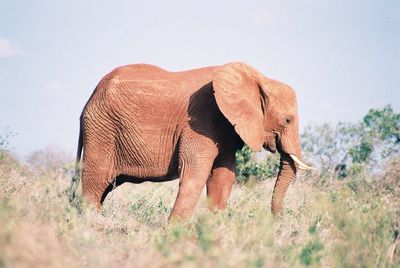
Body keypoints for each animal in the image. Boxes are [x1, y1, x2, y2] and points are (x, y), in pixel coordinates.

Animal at [68, 62, 312, 220]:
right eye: (288, 120)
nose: (278, 221)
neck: (258, 78)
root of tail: (88, 100)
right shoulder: (201, 122)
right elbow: (195, 176)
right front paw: (173, 237)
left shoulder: (224, 130)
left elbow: (223, 178)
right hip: (102, 132)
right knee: (95, 185)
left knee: (103, 189)